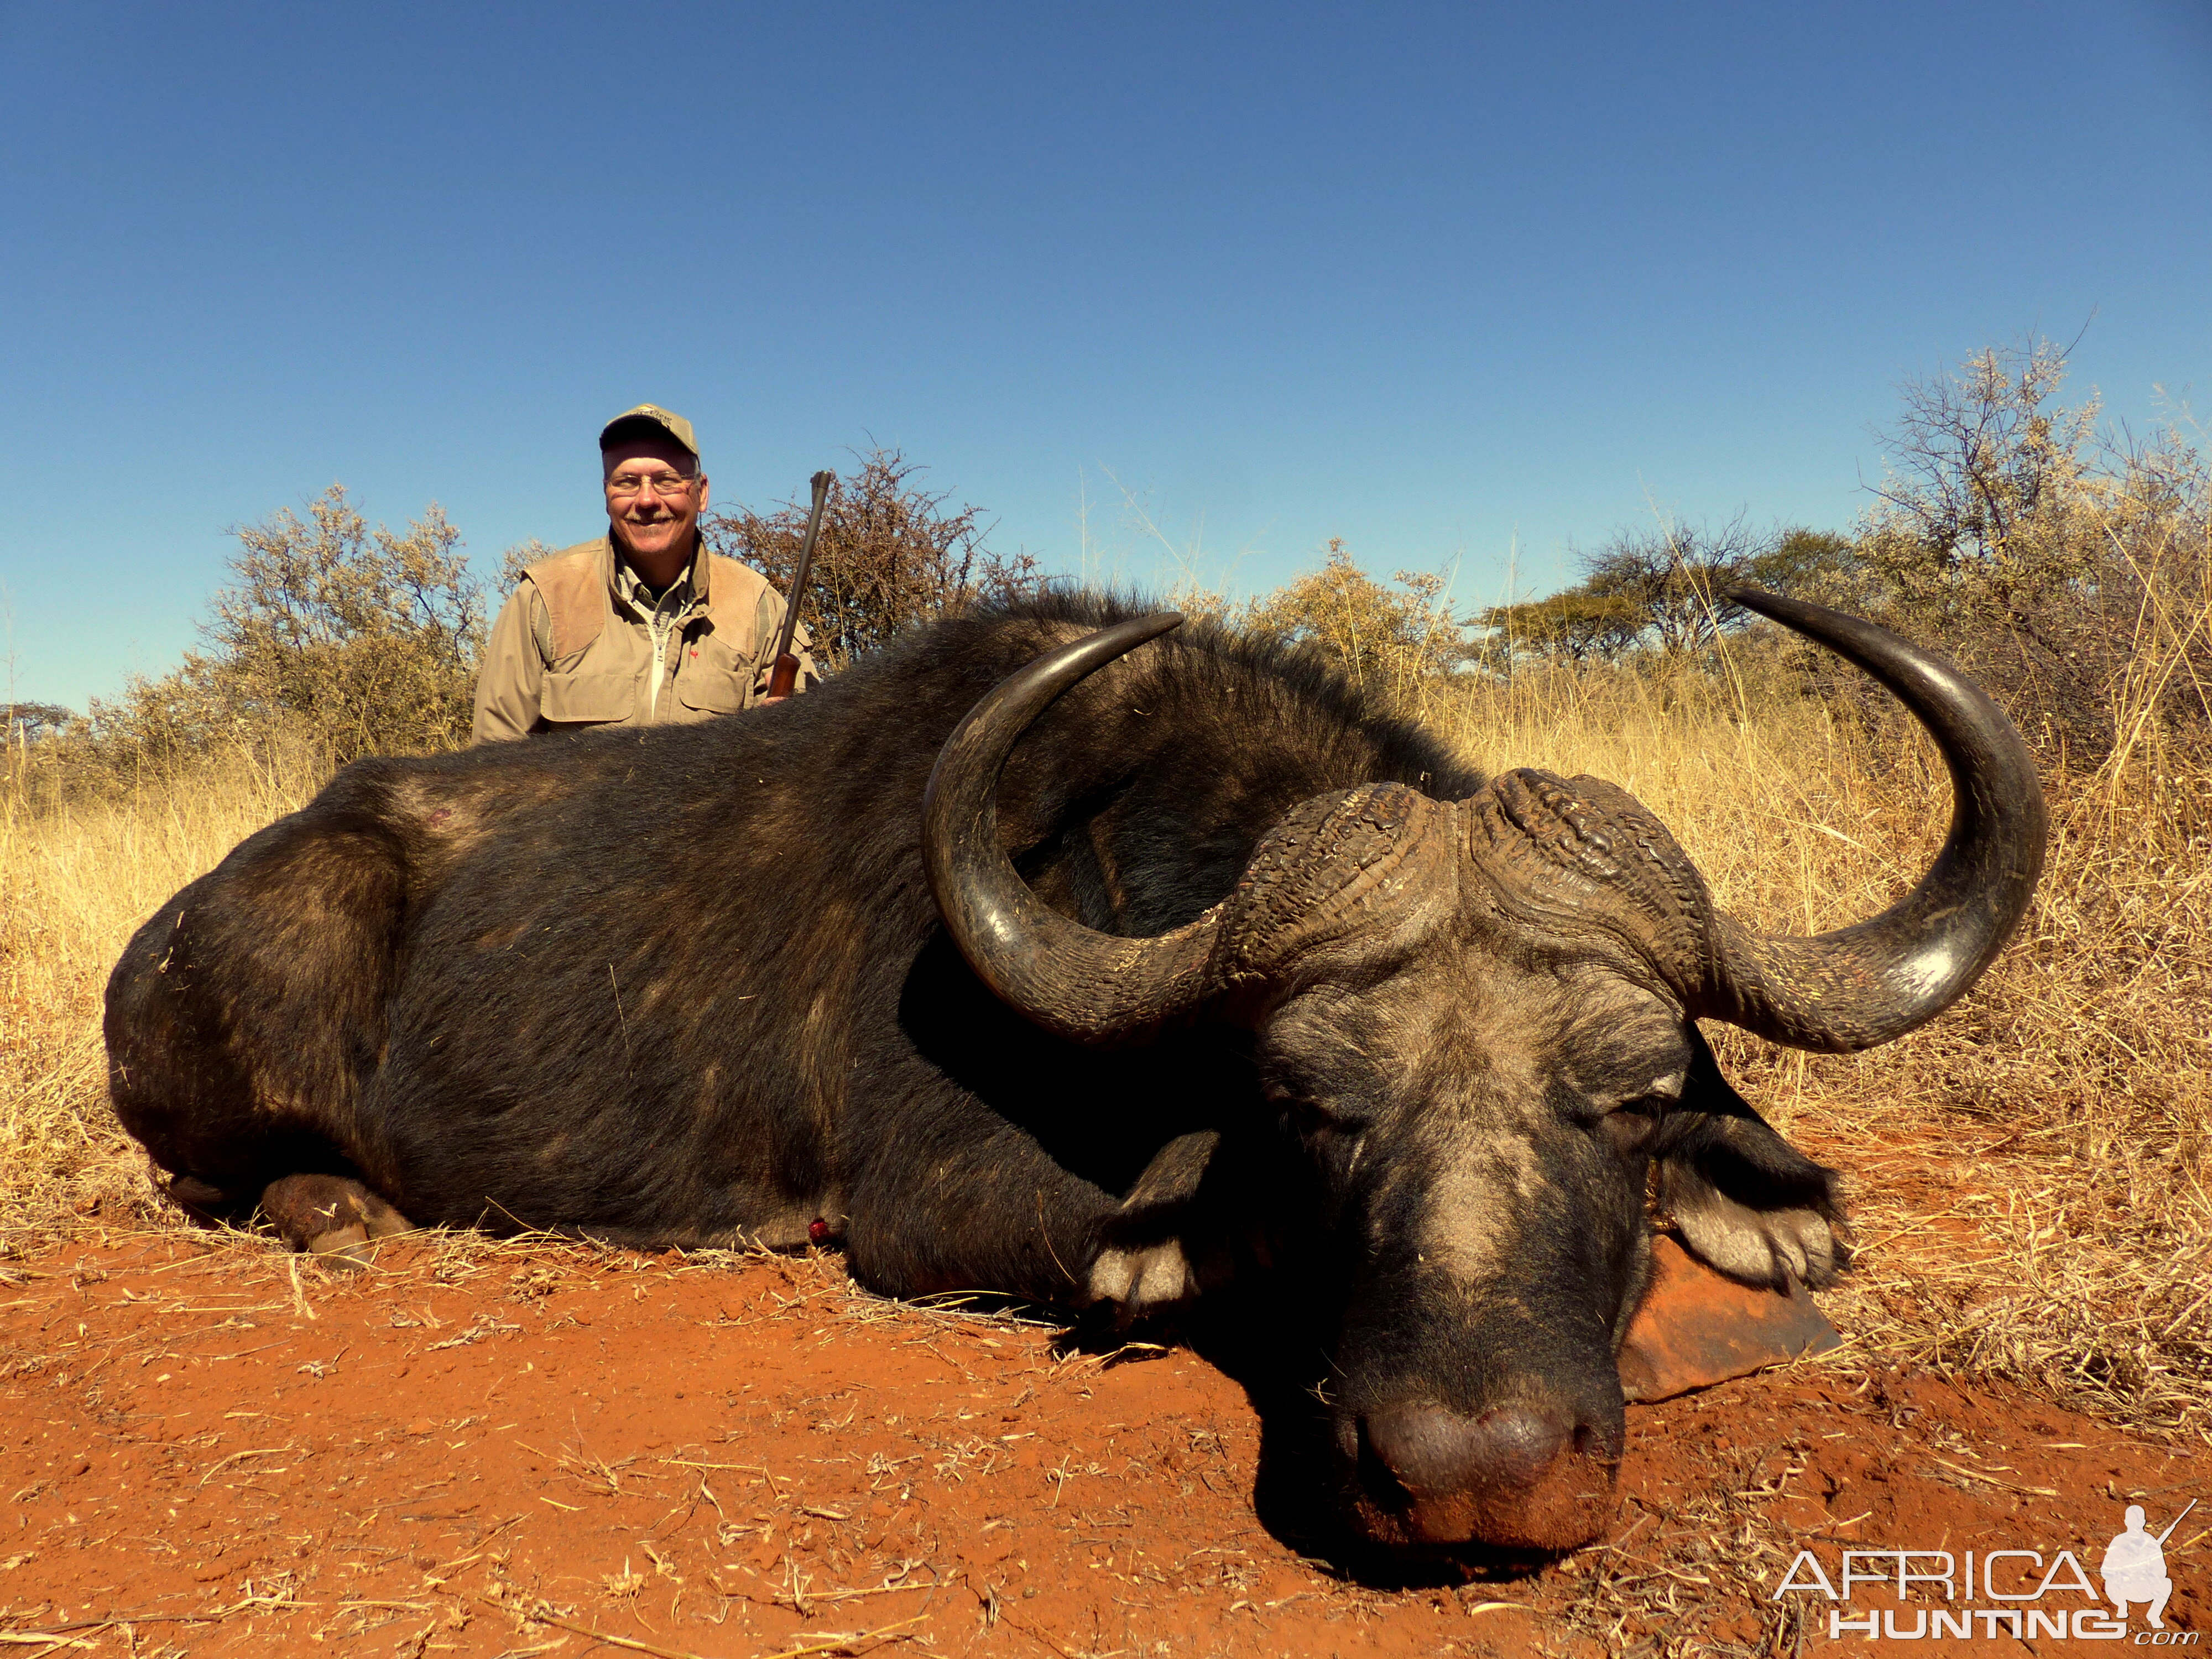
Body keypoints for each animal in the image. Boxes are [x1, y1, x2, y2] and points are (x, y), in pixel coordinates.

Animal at [104, 588, 2035, 1557]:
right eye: (1304, 1111)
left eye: (1629, 1101)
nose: (1477, 1468)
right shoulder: (928, 1209)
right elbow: (1177, 1250)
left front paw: (1764, 1218)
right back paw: (332, 1208)